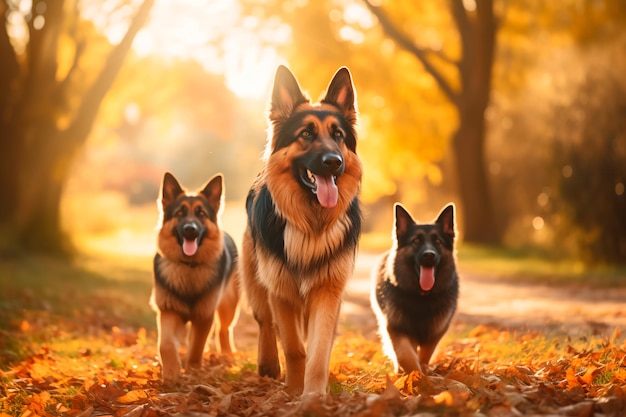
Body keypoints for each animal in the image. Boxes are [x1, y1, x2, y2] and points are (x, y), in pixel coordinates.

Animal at [150, 171, 240, 384]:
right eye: (179, 213)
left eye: (201, 214)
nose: (190, 229)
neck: (188, 267)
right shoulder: (168, 311)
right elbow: (165, 344)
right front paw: (171, 373)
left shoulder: (204, 316)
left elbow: (196, 346)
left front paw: (192, 370)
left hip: (228, 306)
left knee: (224, 329)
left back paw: (227, 355)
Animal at [241, 65, 364, 394]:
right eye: (306, 134)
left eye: (338, 135)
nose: (334, 162)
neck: (311, 223)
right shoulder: (280, 290)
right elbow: (294, 347)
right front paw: (294, 390)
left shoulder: (327, 291)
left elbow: (318, 349)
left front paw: (314, 394)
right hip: (255, 279)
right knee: (264, 321)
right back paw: (269, 364)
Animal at [368, 204, 456, 374]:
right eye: (415, 240)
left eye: (437, 241)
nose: (429, 255)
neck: (421, 296)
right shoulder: (396, 328)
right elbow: (405, 355)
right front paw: (414, 375)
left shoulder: (435, 333)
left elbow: (425, 355)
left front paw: (422, 372)